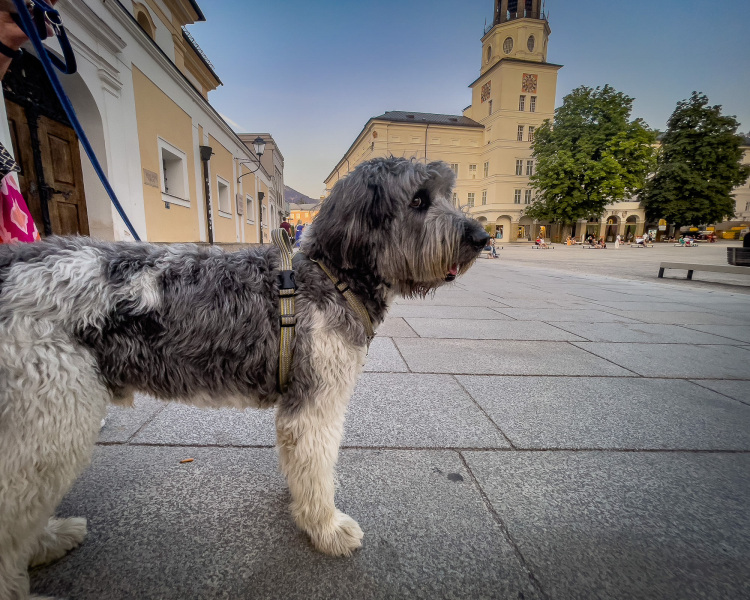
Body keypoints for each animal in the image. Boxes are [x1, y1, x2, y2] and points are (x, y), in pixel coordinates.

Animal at [0, 156, 490, 600]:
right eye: (418, 200)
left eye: (448, 195)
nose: (483, 237)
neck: (332, 277)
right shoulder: (316, 402)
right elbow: (318, 469)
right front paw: (327, 528)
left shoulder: (297, 405)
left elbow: (300, 463)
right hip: (50, 417)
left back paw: (48, 539)